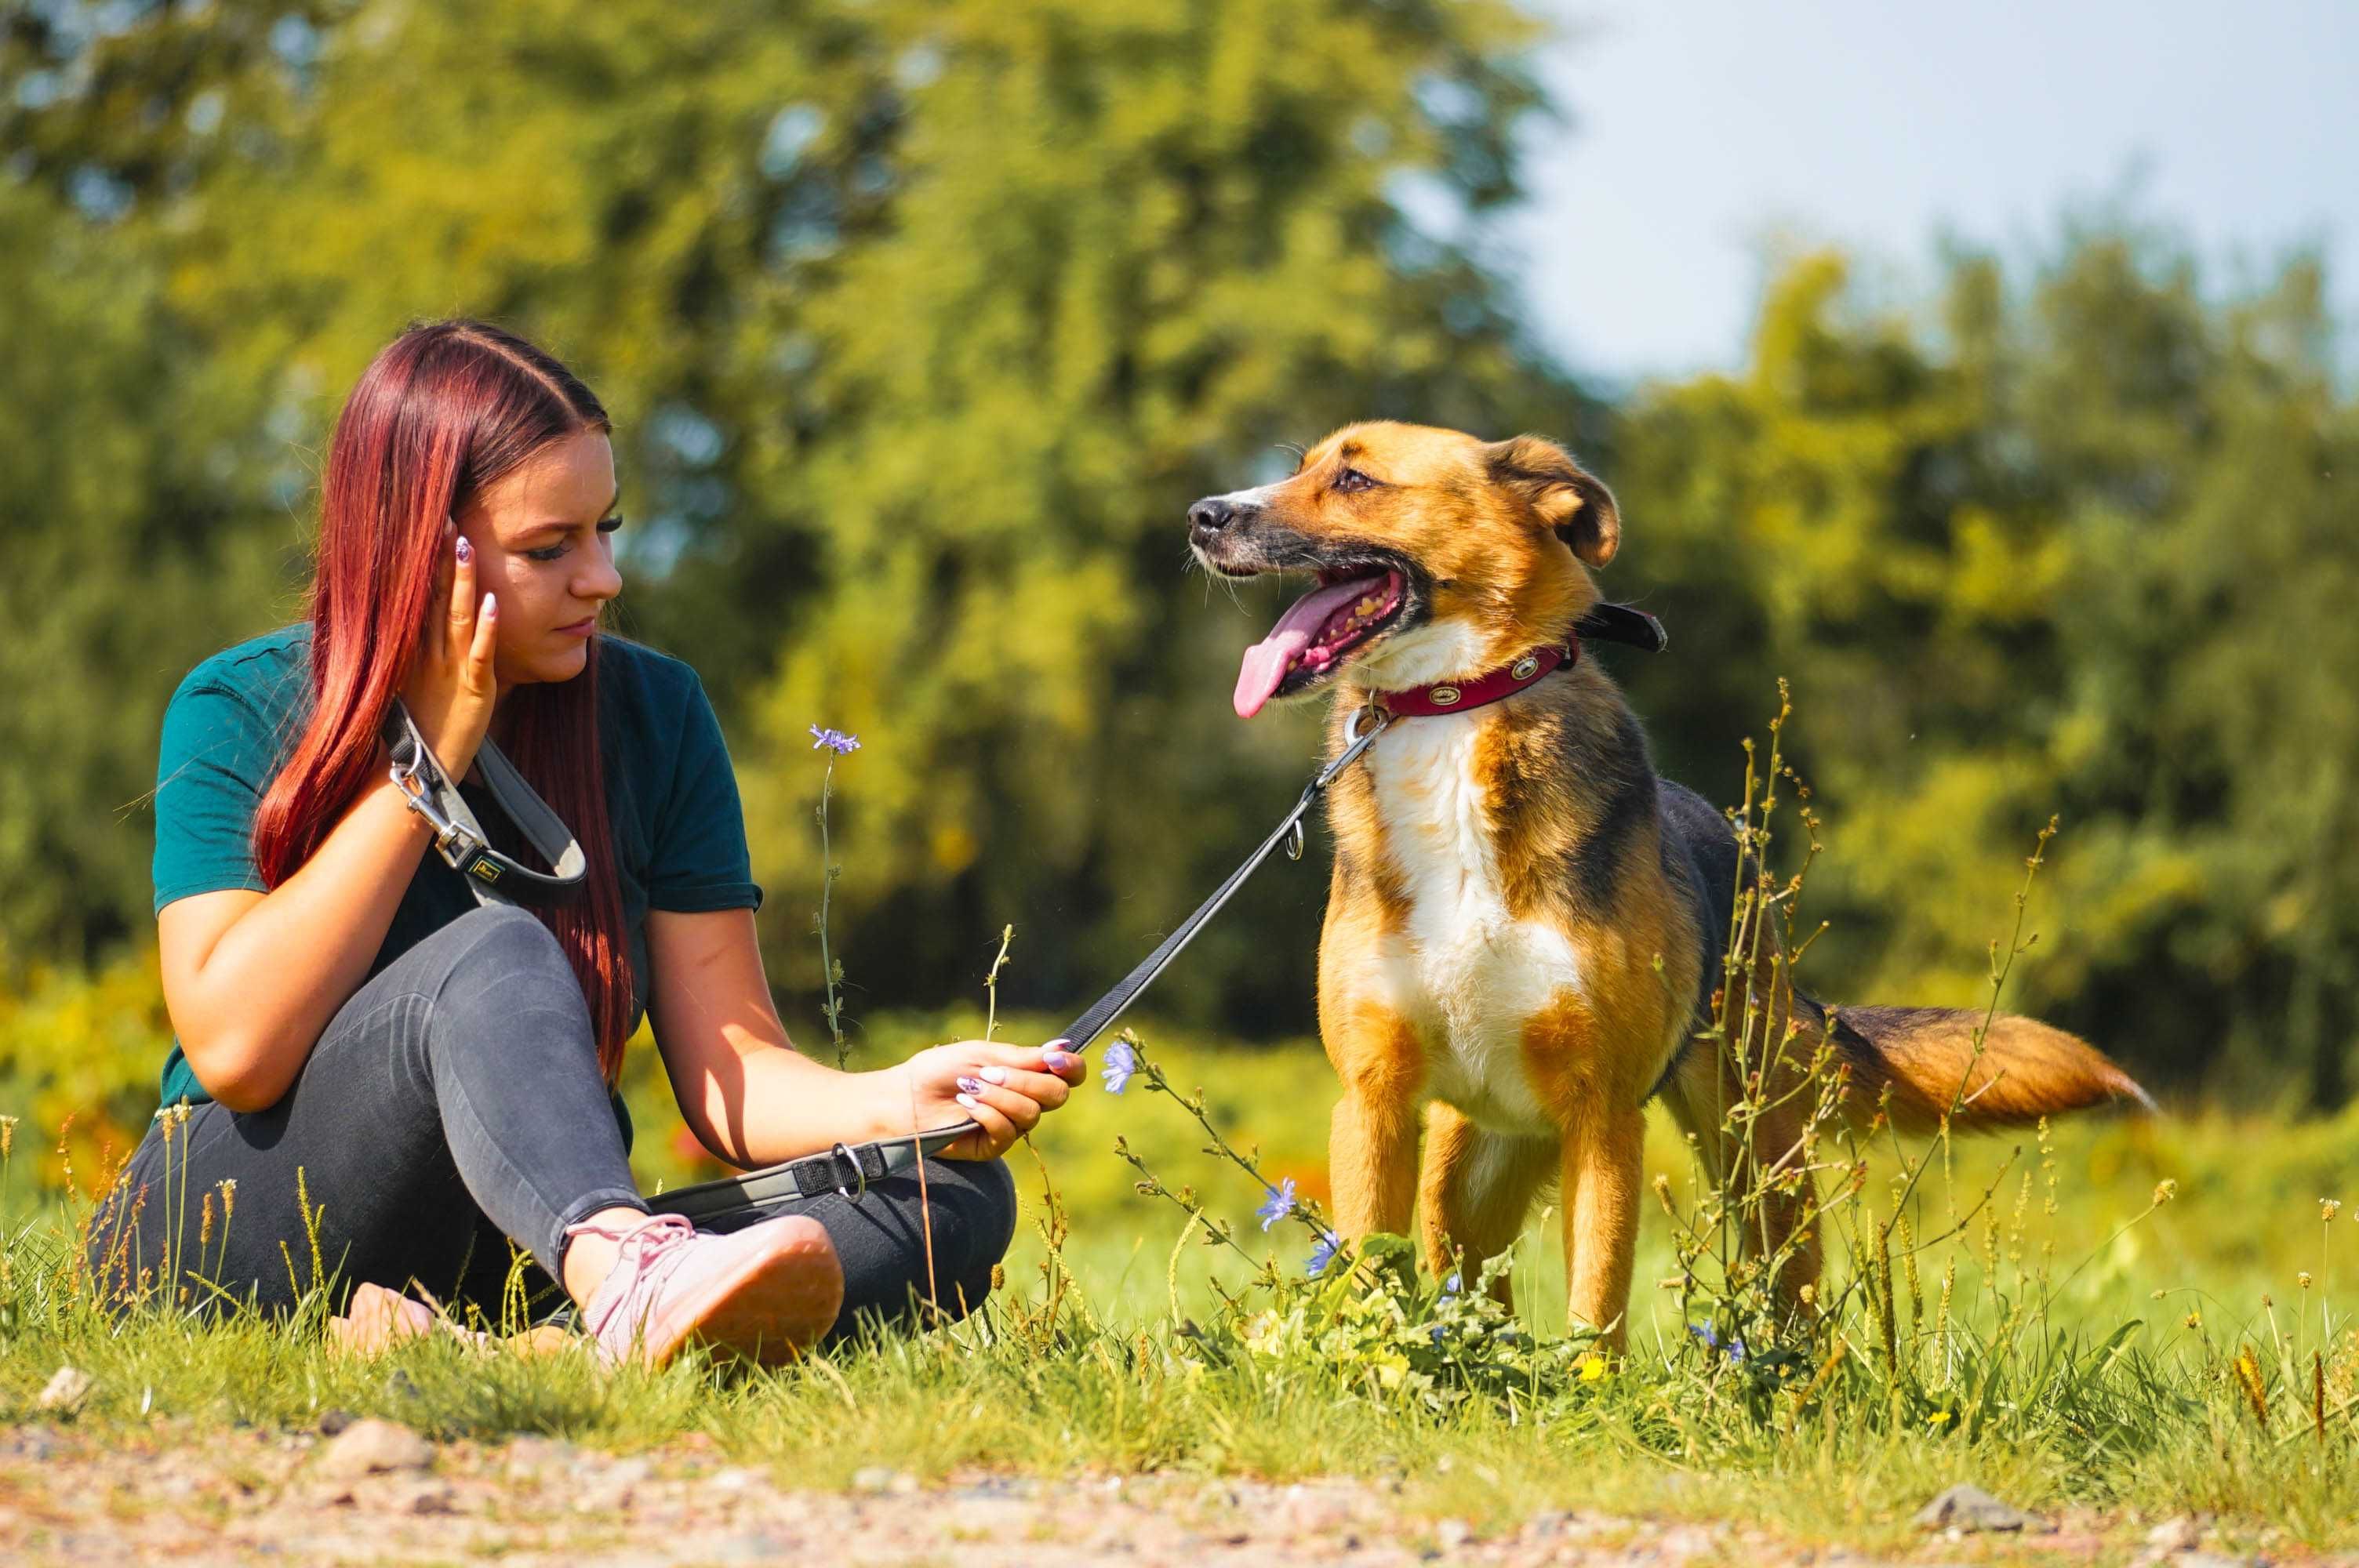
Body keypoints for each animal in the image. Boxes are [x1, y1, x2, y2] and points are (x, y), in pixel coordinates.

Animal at [1189, 419, 2151, 1348]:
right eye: (1303, 465)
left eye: (1354, 479)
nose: (1202, 514)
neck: (1454, 714)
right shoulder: (1374, 1099)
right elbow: (1369, 1283)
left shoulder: (1605, 1117)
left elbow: (1594, 1310)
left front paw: (1585, 1391)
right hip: (1470, 1169)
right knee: (1472, 1287)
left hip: (1758, 1160)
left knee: (1786, 1294)